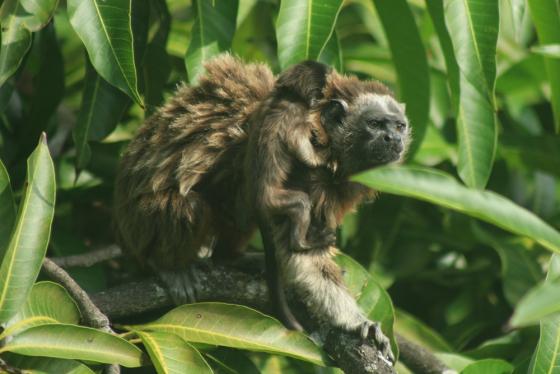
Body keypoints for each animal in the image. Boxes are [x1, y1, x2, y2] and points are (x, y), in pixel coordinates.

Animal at [115, 54, 412, 364]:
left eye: (399, 126)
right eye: (376, 124)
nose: (394, 140)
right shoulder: (305, 172)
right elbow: (303, 258)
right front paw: (355, 322)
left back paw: (232, 258)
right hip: (138, 226)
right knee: (192, 205)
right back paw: (167, 265)